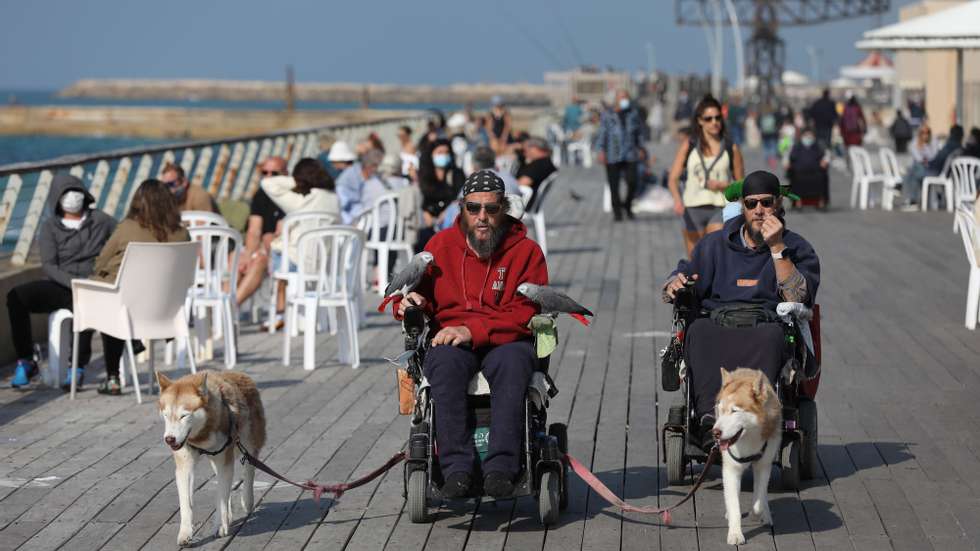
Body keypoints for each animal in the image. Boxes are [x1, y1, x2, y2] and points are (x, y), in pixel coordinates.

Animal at [157, 370, 266, 548]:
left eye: (183, 416)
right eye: (166, 415)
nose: (169, 439)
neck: (201, 437)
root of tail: (238, 373)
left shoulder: (224, 462)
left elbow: (220, 497)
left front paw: (220, 525)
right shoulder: (185, 466)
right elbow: (186, 504)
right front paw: (185, 534)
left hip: (249, 443)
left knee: (249, 469)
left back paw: (247, 500)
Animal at [712, 368, 780, 544]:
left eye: (734, 411)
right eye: (721, 410)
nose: (715, 433)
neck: (749, 437)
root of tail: (745, 369)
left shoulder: (763, 466)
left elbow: (758, 502)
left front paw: (757, 514)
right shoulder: (731, 469)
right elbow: (734, 504)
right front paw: (735, 533)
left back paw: (765, 516)